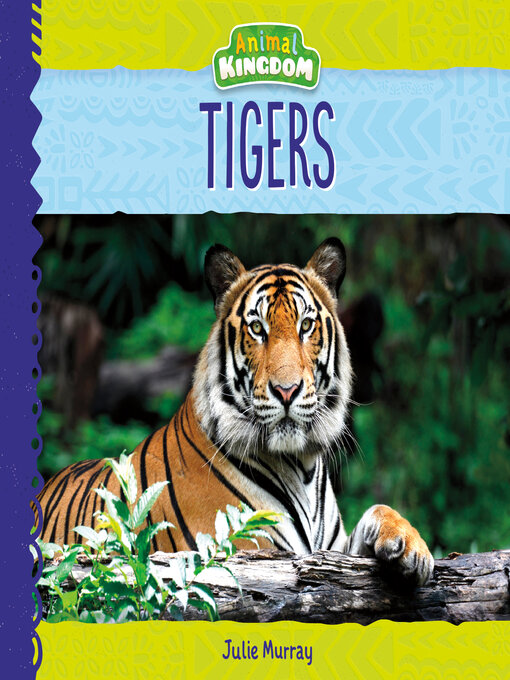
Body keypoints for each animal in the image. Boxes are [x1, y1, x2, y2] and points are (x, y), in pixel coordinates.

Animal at [37, 238, 434, 585]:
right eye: (257, 328)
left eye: (306, 325)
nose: (287, 390)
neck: (302, 465)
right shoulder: (252, 552)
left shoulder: (331, 552)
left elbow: (378, 510)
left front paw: (411, 547)